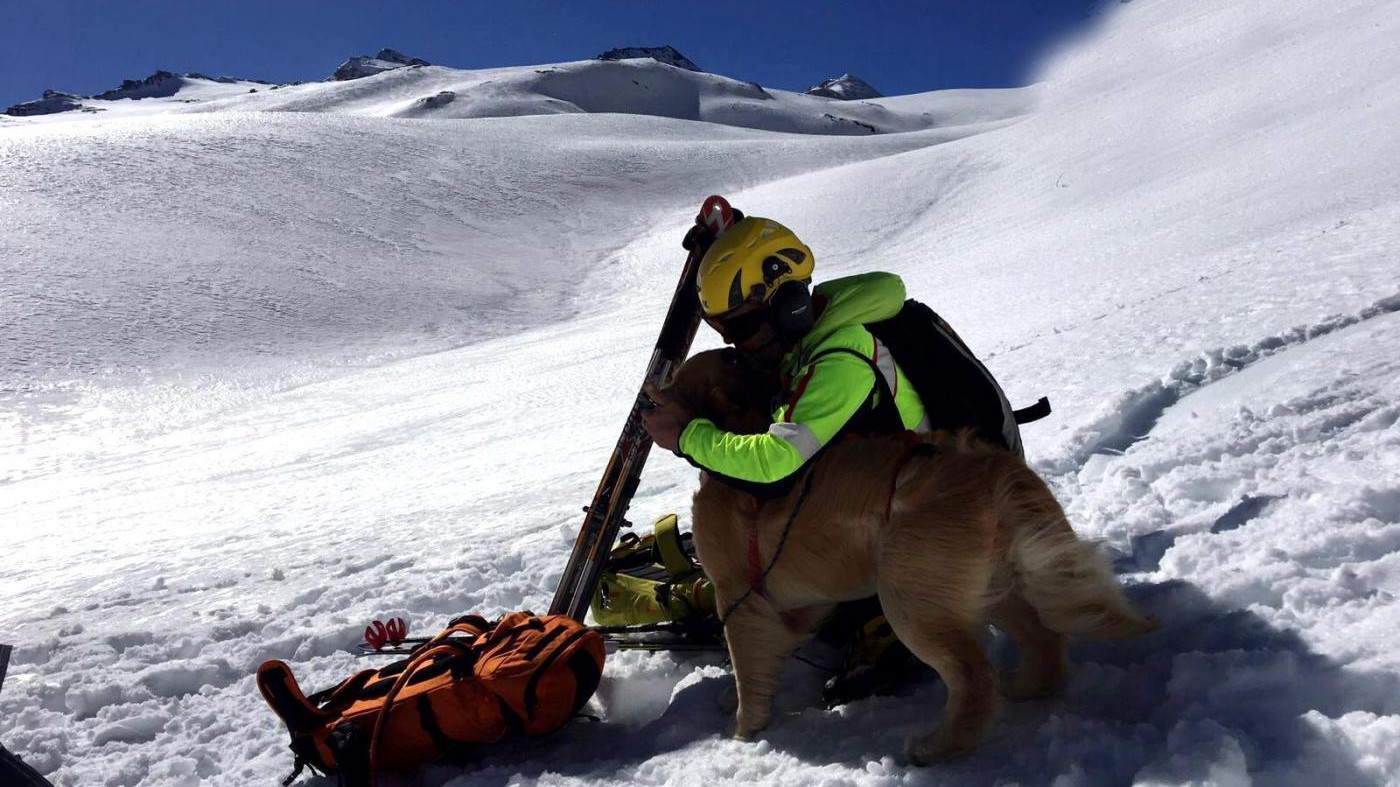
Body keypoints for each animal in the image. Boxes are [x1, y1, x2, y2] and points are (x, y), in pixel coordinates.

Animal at [669, 347, 1159, 761]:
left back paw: (937, 747)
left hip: (911, 600)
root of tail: (989, 468)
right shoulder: (795, 606)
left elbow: (745, 663)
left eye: (732, 356)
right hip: (986, 587)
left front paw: (744, 730)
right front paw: (733, 702)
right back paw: (1023, 685)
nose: (772, 364)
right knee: (1045, 643)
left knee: (976, 678)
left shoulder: (737, 596)